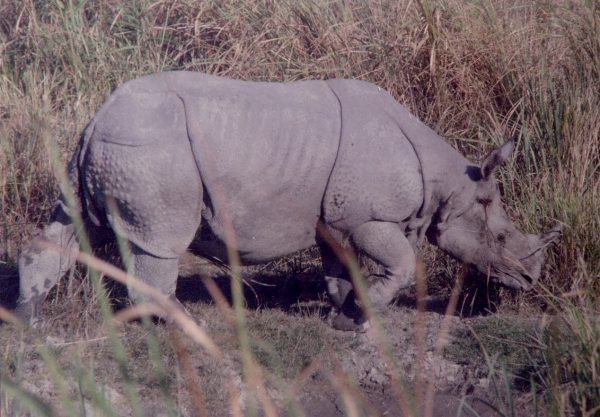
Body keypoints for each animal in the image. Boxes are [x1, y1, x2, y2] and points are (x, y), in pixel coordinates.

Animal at [18, 72, 564, 332]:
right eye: (500, 237)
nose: (532, 279)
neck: (447, 185)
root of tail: (96, 119)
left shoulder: (334, 218)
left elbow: (340, 266)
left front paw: (344, 311)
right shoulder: (369, 216)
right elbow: (404, 263)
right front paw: (359, 317)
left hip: (109, 150)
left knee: (72, 222)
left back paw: (28, 316)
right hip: (149, 151)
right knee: (159, 243)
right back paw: (189, 327)